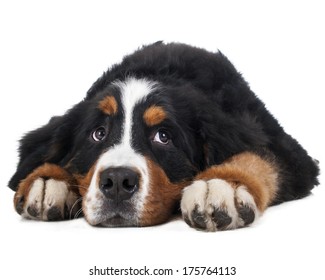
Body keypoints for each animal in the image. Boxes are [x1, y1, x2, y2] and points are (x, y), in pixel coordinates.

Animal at [8, 41, 318, 230]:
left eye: (163, 137)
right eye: (98, 133)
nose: (117, 181)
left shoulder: (289, 154)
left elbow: (259, 158)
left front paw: (220, 184)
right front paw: (46, 180)